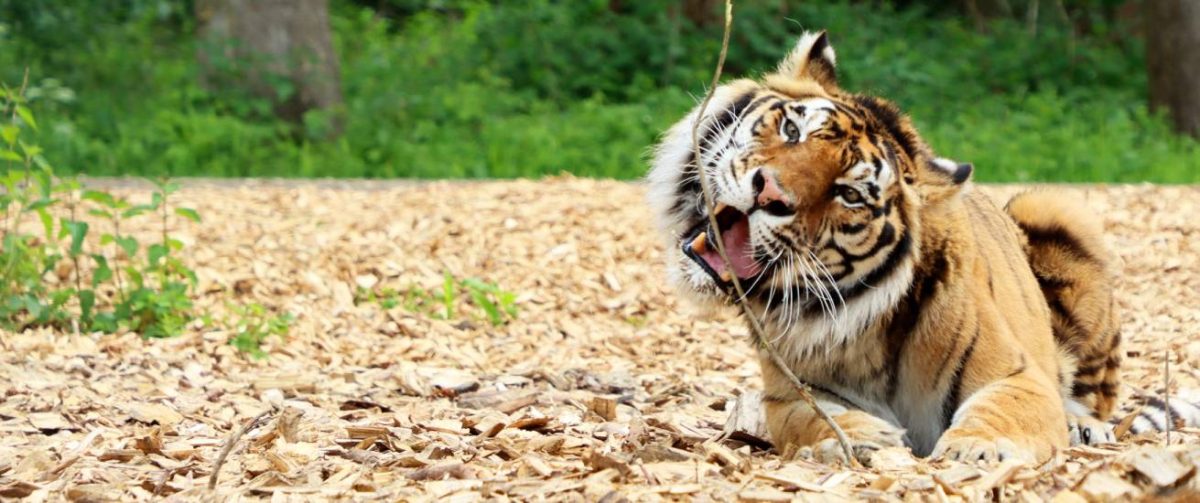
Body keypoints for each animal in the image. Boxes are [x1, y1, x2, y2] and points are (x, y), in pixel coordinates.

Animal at [647, 31, 1199, 464]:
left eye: (849, 193)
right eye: (791, 129)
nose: (770, 193)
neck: (867, 330)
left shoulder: (1020, 376)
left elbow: (1002, 412)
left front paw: (976, 450)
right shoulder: (790, 393)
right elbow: (820, 418)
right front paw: (864, 440)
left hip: (1053, 207)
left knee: (1099, 400)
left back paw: (1086, 425)